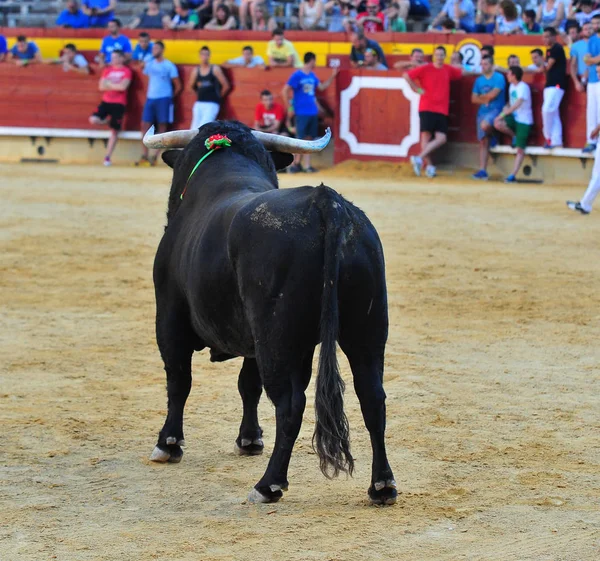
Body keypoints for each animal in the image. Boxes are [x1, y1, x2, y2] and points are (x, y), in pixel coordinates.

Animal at [148, 121, 396, 504]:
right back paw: (382, 485)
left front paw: (168, 444)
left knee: (290, 404)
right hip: (366, 330)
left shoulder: (170, 317)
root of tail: (327, 204)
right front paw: (249, 439)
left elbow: (179, 380)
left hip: (277, 337)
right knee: (373, 396)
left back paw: (269, 484)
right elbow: (248, 384)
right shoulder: (254, 338)